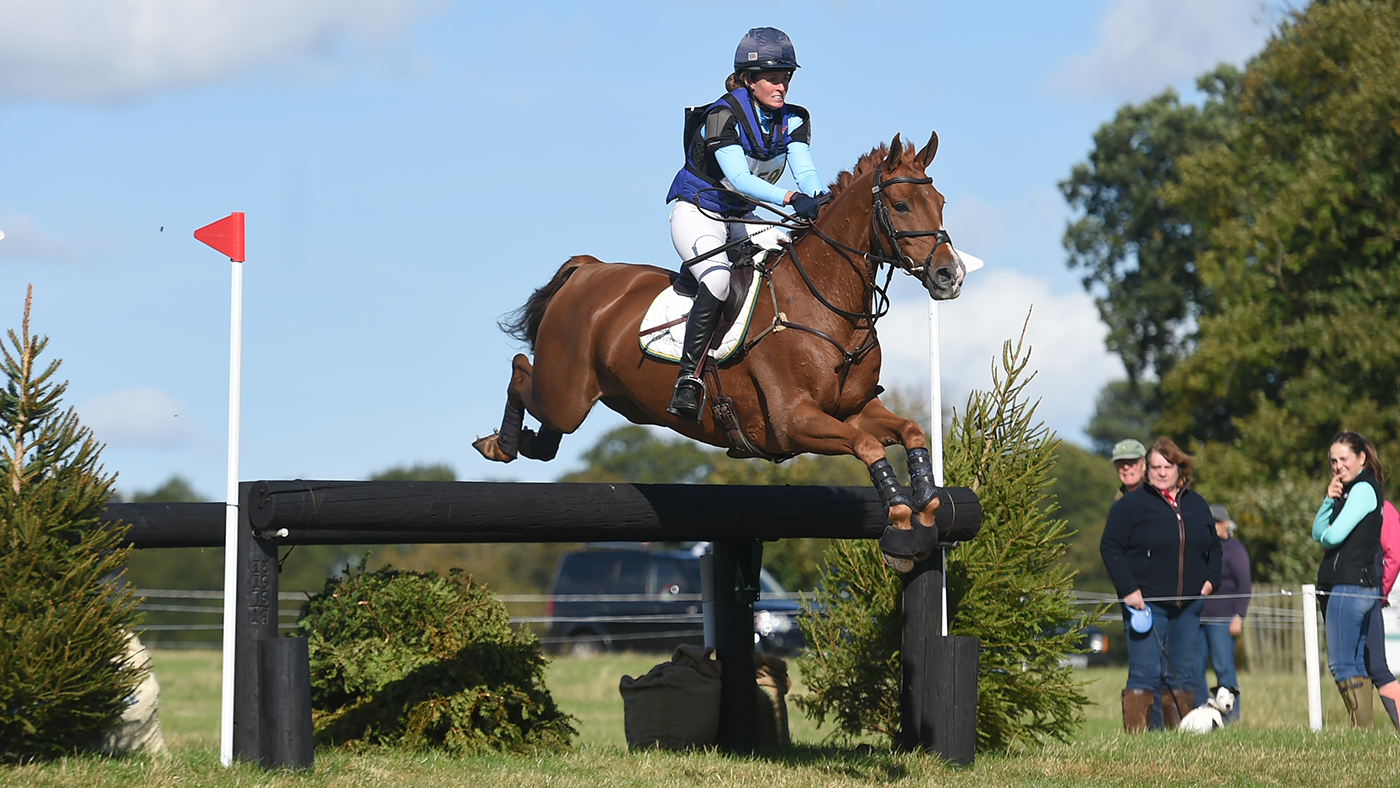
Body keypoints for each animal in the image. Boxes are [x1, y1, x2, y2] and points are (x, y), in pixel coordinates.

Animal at [473, 132, 966, 568]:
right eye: (901, 205)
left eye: (940, 203)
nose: (950, 276)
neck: (826, 305)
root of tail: (588, 271)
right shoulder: (795, 422)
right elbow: (868, 447)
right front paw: (901, 524)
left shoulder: (855, 409)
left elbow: (910, 432)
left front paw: (925, 505)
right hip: (567, 395)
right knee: (521, 369)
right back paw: (500, 443)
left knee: (544, 429)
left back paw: (528, 441)